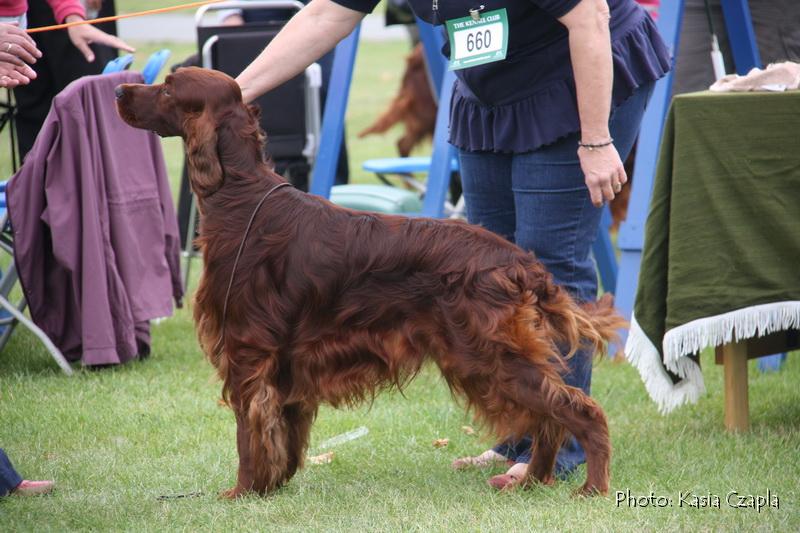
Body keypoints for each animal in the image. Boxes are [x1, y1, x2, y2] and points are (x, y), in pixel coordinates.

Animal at [115, 67, 620, 498]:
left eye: (167, 87)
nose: (119, 89)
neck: (240, 196)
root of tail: (518, 260)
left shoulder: (246, 351)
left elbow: (249, 435)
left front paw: (242, 492)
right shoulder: (286, 365)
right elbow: (283, 434)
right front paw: (272, 486)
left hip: (490, 356)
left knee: (580, 410)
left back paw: (591, 487)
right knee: (549, 419)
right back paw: (531, 480)